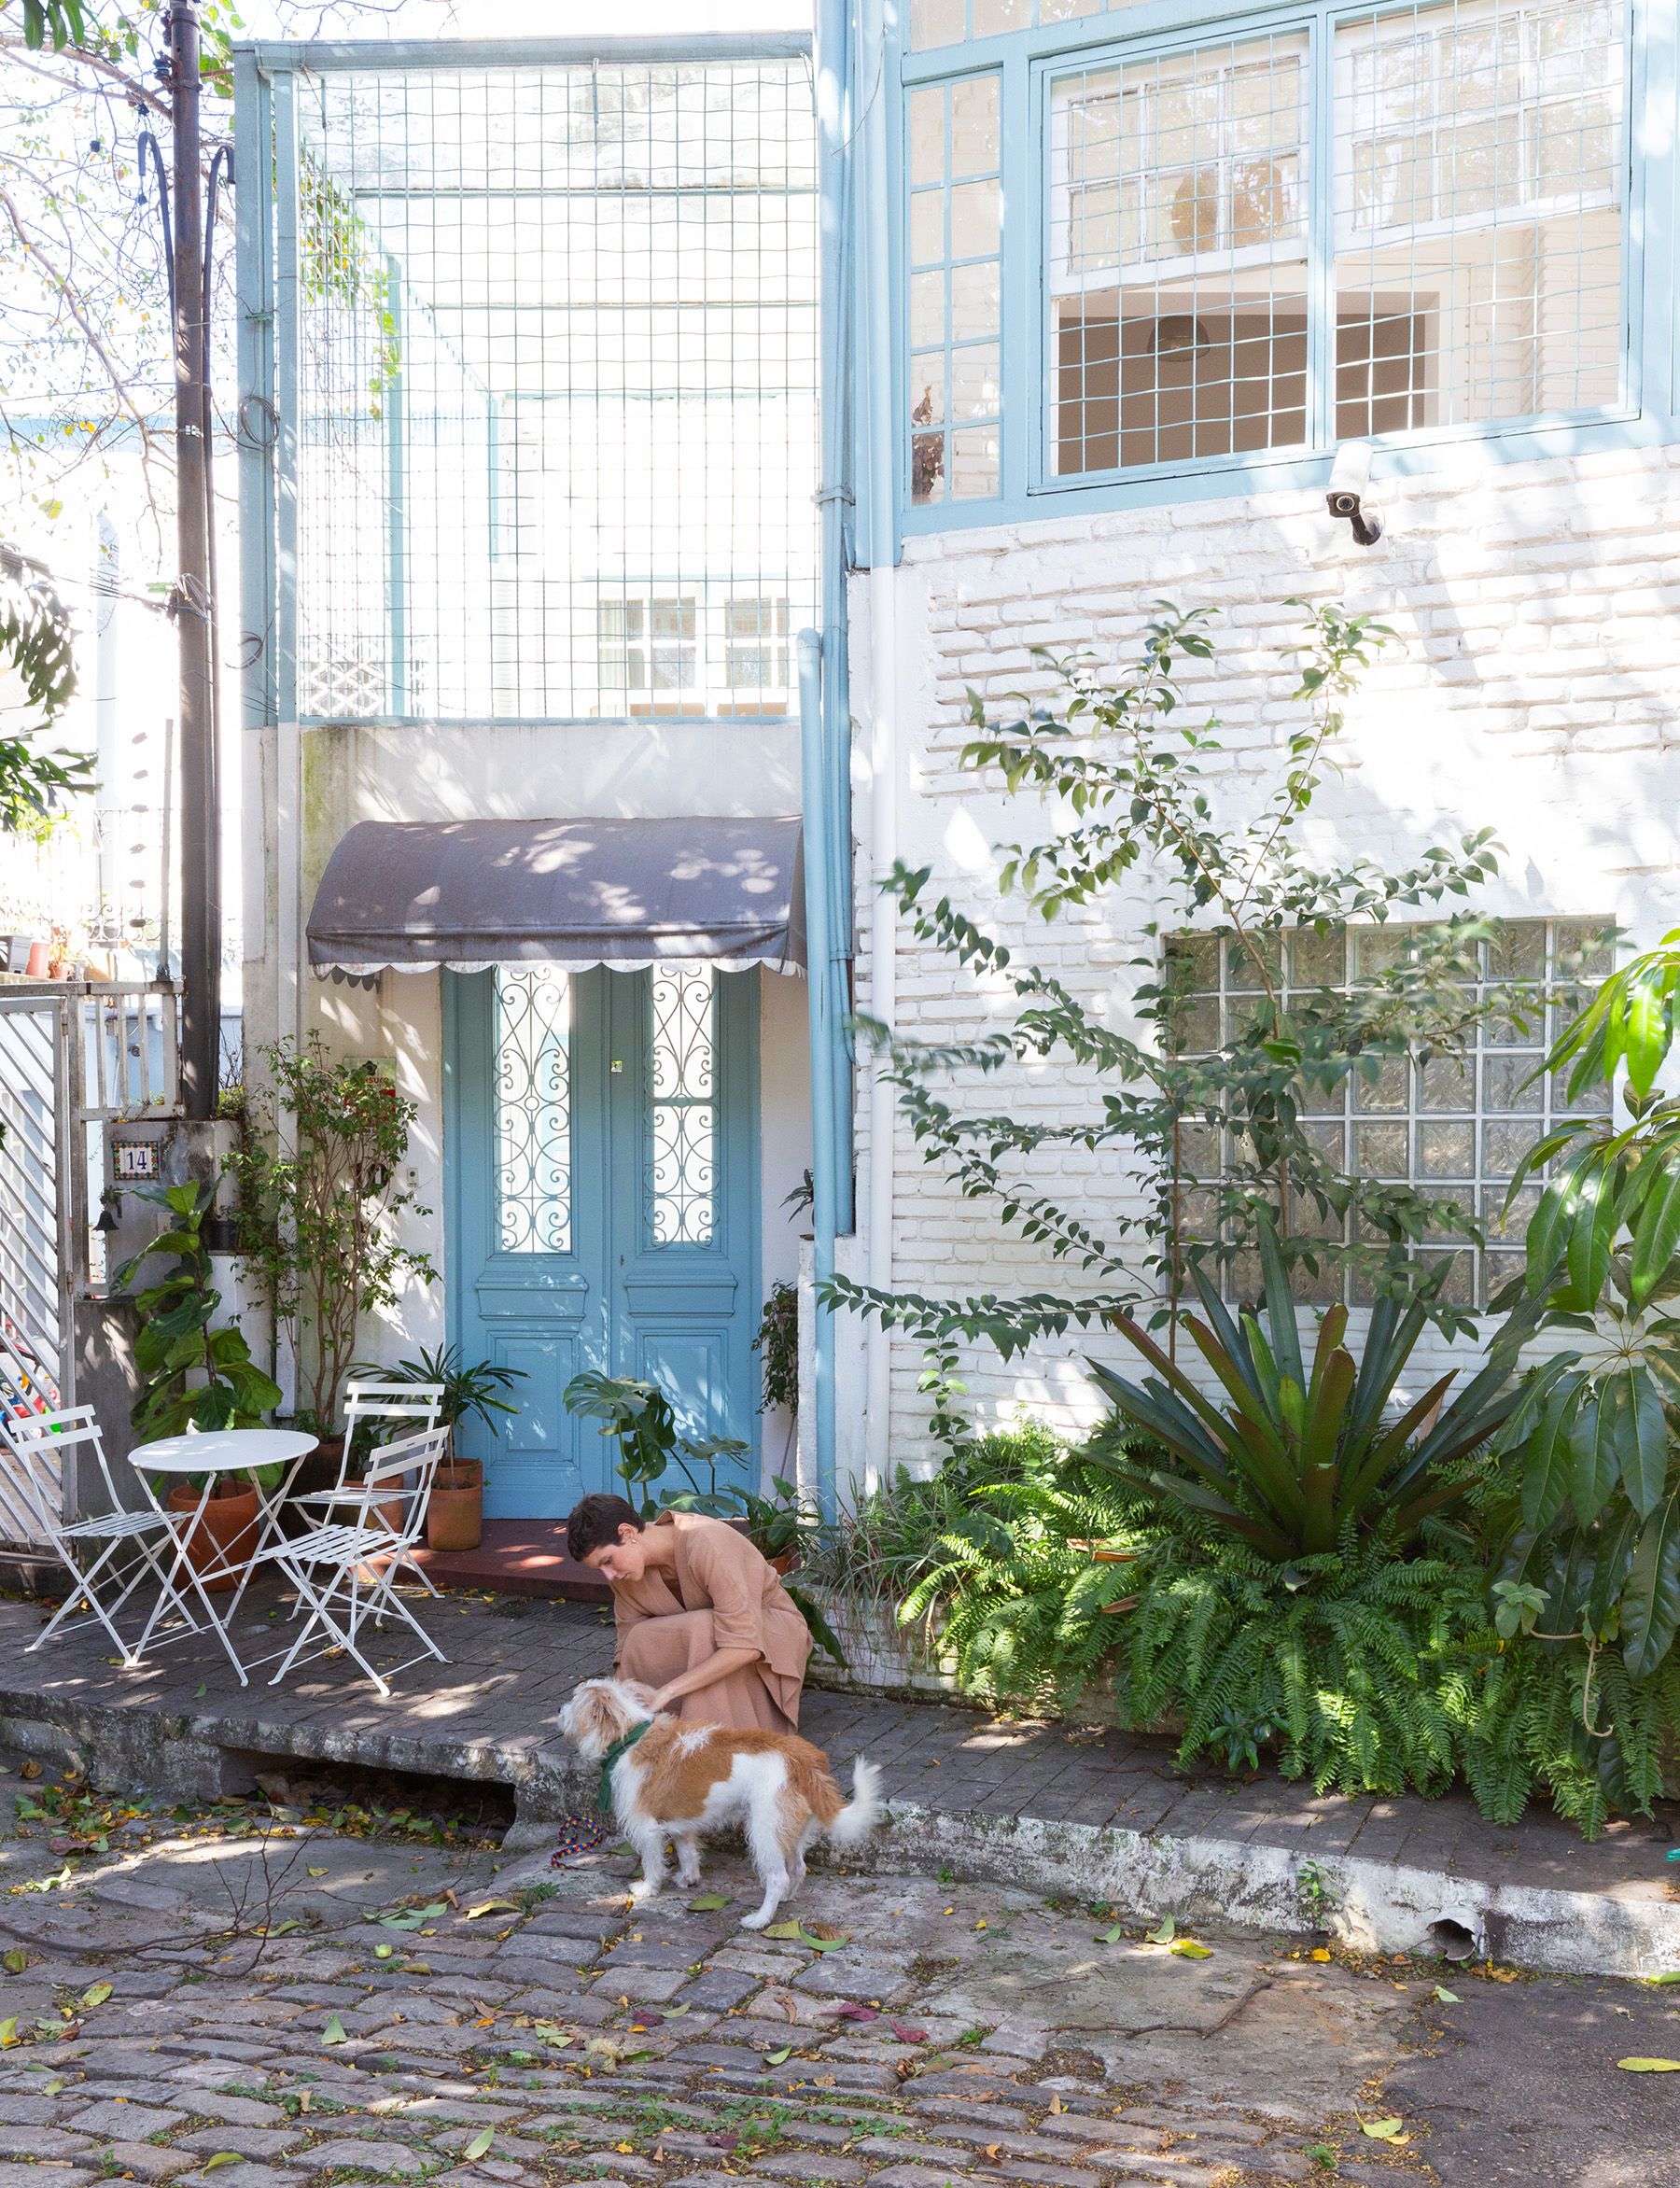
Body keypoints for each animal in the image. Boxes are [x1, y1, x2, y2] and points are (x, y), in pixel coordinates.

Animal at [557, 1671, 883, 1934]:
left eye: (574, 1702)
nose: (559, 1710)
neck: (630, 1737)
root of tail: (802, 1760)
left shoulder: (646, 1826)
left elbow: (652, 1861)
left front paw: (648, 1888)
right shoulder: (680, 1823)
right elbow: (688, 1852)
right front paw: (689, 1879)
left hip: (764, 1830)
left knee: (777, 1877)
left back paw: (761, 1918)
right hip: (789, 1829)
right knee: (798, 1867)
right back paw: (787, 1897)